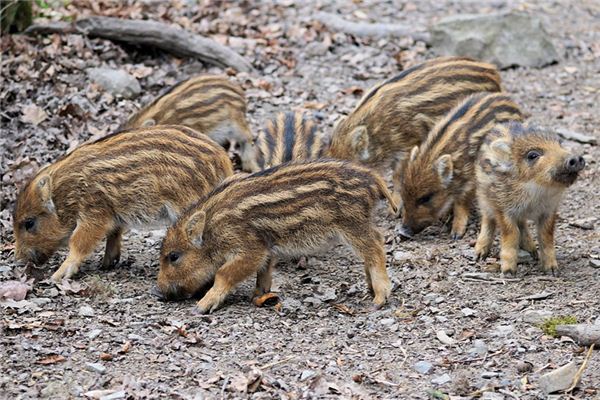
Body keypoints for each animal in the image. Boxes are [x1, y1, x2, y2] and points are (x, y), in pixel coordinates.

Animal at [12, 125, 232, 282]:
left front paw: (58, 275)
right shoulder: (113, 214)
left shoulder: (94, 212)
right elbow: (114, 232)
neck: (66, 194)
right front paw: (108, 263)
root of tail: (224, 160)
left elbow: (78, 242)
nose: (18, 260)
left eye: (29, 223)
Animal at [156, 159, 398, 312]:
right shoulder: (266, 246)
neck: (213, 228)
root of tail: (373, 179)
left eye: (174, 256)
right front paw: (259, 296)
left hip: (352, 224)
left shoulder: (250, 248)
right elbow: (263, 272)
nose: (157, 292)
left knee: (376, 246)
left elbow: (223, 273)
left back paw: (378, 299)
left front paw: (201, 307)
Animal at [394, 92, 524, 239]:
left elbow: (461, 203)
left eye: (425, 198)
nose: (403, 231)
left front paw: (456, 233)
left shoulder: (471, 179)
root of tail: (510, 101)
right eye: (403, 193)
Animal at [476, 122, 584, 276]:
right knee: (487, 219)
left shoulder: (549, 210)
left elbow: (546, 236)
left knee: (522, 223)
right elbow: (511, 234)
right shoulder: (503, 208)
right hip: (484, 198)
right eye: (533, 155)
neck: (537, 191)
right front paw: (508, 272)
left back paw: (532, 251)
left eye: (560, 145)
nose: (576, 158)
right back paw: (479, 255)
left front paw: (552, 270)